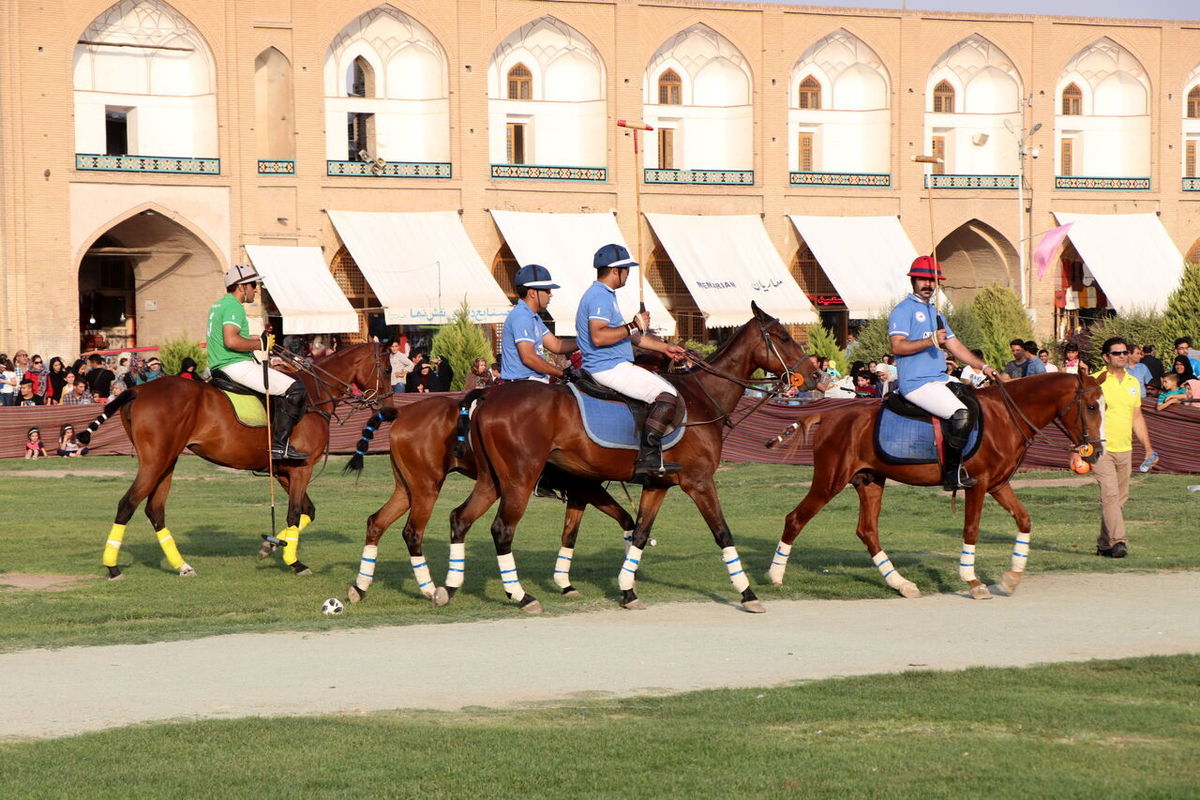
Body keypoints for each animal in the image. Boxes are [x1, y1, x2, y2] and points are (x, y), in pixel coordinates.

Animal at [75, 340, 391, 578]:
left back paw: (182, 566)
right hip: (155, 461)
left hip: (167, 461)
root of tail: (138, 389)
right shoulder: (301, 467)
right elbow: (294, 514)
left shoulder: (284, 472)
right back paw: (113, 567)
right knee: (127, 504)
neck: (314, 395)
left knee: (155, 510)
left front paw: (272, 546)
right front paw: (294, 562)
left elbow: (307, 512)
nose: (386, 408)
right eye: (388, 368)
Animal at [338, 398, 638, 609]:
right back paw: (431, 588)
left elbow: (580, 532)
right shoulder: (585, 487)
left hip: (406, 487)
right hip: (427, 487)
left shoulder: (580, 492)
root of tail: (403, 411)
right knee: (413, 531)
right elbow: (612, 522)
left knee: (377, 522)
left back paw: (360, 587)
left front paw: (569, 584)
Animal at [441, 304, 825, 614]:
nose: (818, 376)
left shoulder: (657, 484)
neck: (703, 399)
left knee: (461, 517)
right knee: (502, 529)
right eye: (783, 337)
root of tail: (487, 396)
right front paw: (747, 593)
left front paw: (627, 591)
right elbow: (722, 533)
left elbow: (639, 533)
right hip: (519, 479)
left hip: (493, 479)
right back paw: (521, 596)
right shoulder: (699, 482)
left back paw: (448, 588)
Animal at [763, 371, 1099, 597]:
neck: (1006, 416)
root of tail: (829, 415)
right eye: (1093, 407)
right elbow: (971, 530)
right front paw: (972, 581)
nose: (1096, 451)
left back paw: (900, 583)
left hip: (870, 481)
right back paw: (775, 576)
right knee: (796, 518)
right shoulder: (977, 484)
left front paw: (1012, 577)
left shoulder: (998, 485)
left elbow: (1025, 519)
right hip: (830, 480)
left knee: (867, 530)